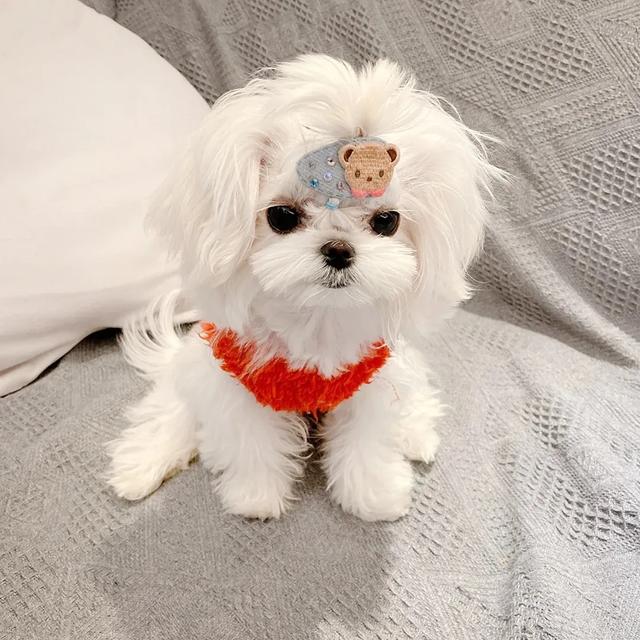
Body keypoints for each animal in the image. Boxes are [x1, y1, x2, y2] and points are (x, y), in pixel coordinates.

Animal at [106, 55, 500, 521]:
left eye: (387, 221)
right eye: (282, 216)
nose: (339, 249)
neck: (318, 316)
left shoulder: (370, 387)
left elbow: (366, 440)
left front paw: (373, 494)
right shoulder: (239, 387)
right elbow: (253, 443)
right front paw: (255, 495)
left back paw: (417, 434)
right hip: (194, 370)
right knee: (172, 408)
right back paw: (142, 465)